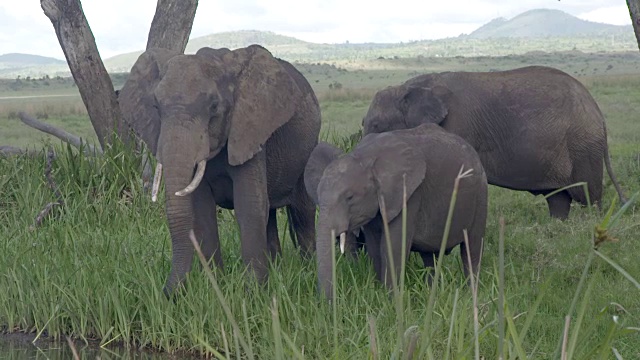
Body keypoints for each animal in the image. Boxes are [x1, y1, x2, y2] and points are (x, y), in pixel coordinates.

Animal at [117, 44, 320, 296]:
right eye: (156, 107)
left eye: (214, 106)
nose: (168, 293)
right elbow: (203, 211)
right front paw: (215, 286)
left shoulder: (248, 129)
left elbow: (249, 207)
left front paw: (252, 294)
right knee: (271, 215)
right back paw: (277, 270)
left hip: (308, 150)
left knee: (302, 212)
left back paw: (308, 269)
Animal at [362, 66, 628, 221]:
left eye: (376, 125)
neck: (408, 87)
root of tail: (597, 111)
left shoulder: (457, 126)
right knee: (558, 198)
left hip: (583, 144)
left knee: (587, 195)